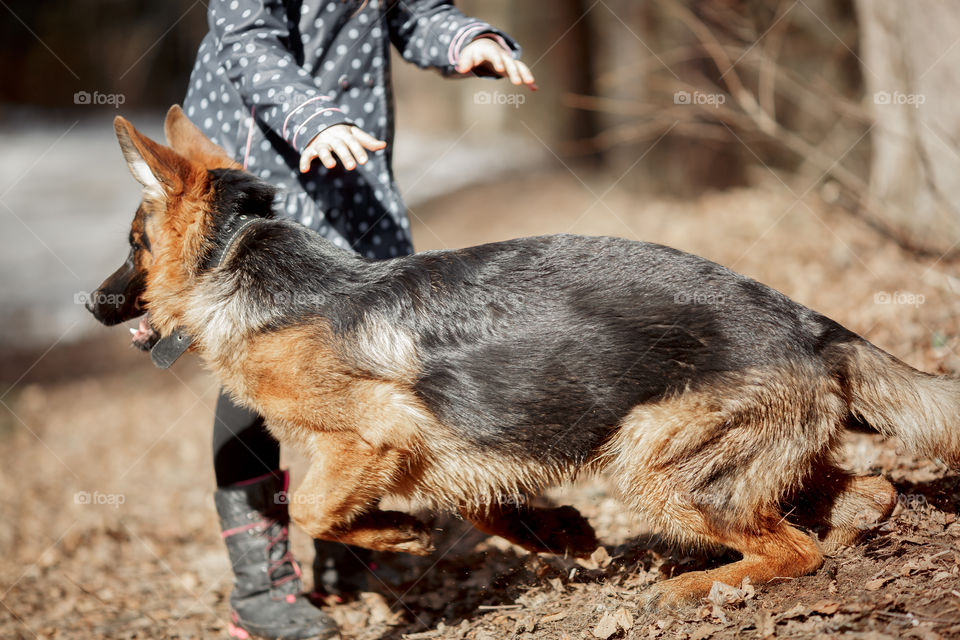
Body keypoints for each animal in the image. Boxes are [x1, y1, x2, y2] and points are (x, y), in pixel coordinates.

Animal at [90, 107, 960, 608]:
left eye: (134, 244)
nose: (92, 304)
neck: (243, 264)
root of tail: (814, 324)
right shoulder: (443, 445)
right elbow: (479, 503)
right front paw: (557, 533)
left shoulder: (372, 435)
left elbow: (311, 510)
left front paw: (400, 534)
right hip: (749, 458)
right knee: (866, 495)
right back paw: (843, 540)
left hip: (652, 456)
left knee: (792, 550)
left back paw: (700, 584)